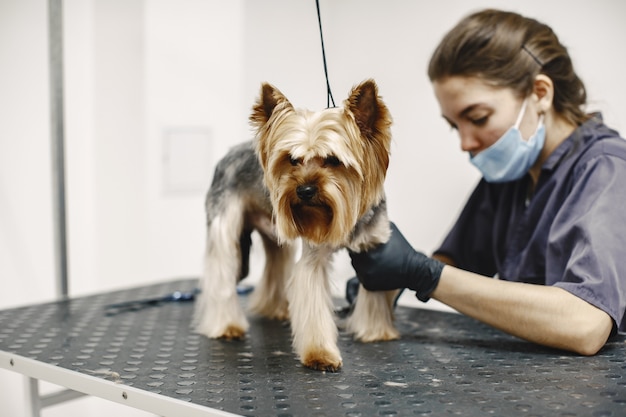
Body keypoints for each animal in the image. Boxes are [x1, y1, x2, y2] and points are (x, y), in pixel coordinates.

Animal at [195, 79, 398, 368]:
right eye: (292, 159)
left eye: (333, 160)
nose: (304, 190)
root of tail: (229, 154)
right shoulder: (314, 257)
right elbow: (312, 300)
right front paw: (320, 354)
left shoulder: (374, 248)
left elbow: (376, 288)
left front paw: (376, 331)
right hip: (225, 224)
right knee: (221, 272)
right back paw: (226, 325)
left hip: (275, 230)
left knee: (276, 260)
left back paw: (276, 309)